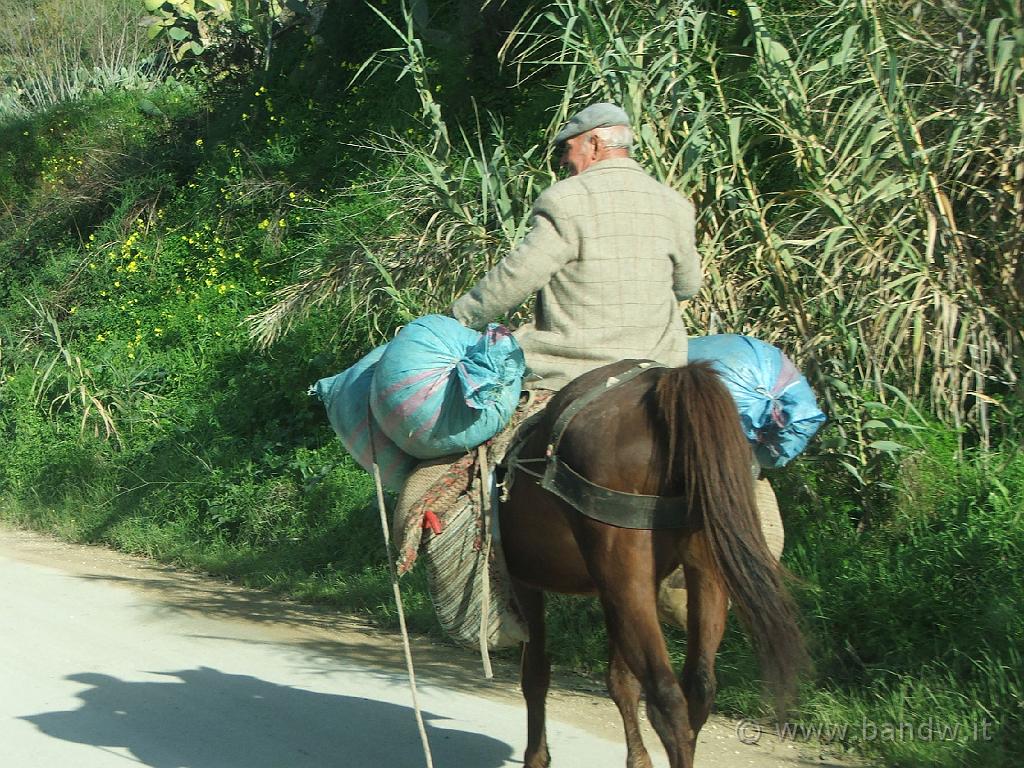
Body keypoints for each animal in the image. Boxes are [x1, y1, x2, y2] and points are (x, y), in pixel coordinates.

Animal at [495, 360, 806, 768]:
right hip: (697, 568)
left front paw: (537, 757)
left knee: (666, 697)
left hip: (624, 575)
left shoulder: (525, 580)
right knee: (699, 688)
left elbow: (535, 672)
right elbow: (620, 680)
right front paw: (638, 759)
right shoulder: (608, 589)